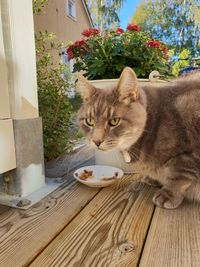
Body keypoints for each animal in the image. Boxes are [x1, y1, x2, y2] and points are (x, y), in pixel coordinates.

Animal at [76, 66, 200, 209]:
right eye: (89, 121)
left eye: (114, 121)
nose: (96, 141)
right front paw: (154, 178)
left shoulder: (189, 154)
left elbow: (180, 175)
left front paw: (168, 194)